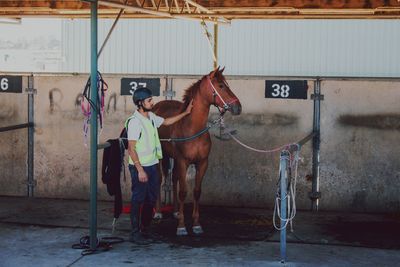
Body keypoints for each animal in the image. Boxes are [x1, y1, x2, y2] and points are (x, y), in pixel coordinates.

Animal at [152, 67, 241, 237]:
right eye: (221, 86)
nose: (238, 108)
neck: (193, 128)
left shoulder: (202, 163)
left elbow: (197, 192)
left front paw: (196, 224)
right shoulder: (183, 162)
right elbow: (183, 192)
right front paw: (181, 227)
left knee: (174, 178)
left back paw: (175, 212)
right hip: (161, 157)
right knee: (160, 179)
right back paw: (158, 212)